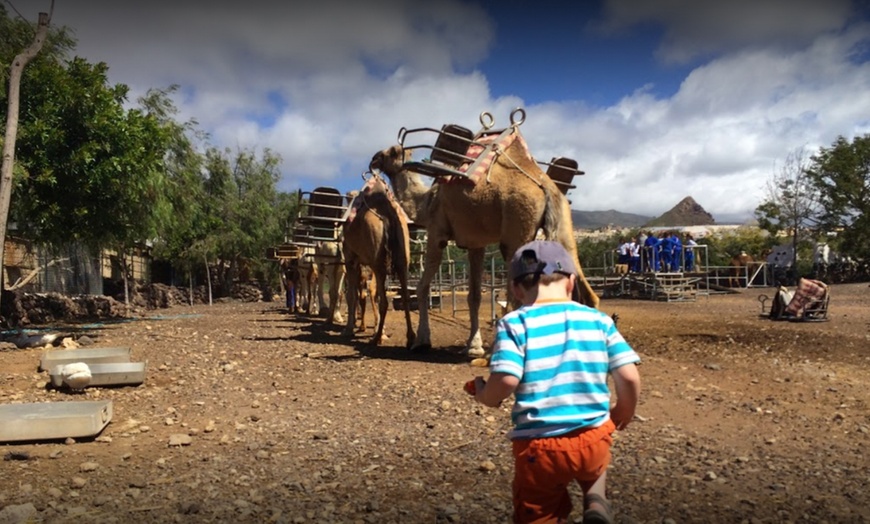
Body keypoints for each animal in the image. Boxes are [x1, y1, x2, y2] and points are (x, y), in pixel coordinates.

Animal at [340, 176, 416, 348]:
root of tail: (388, 214)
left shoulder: (351, 257)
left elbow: (352, 295)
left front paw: (348, 329)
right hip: (402, 258)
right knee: (405, 296)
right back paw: (410, 338)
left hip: (377, 261)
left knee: (383, 301)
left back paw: (376, 338)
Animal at [372, 131, 604, 356]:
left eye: (391, 152)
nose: (374, 158)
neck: (426, 202)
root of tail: (546, 187)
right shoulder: (476, 243)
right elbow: (474, 296)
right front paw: (473, 346)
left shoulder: (437, 233)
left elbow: (422, 287)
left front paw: (421, 341)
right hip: (564, 229)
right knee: (588, 293)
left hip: (516, 231)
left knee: (515, 300)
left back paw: (497, 351)